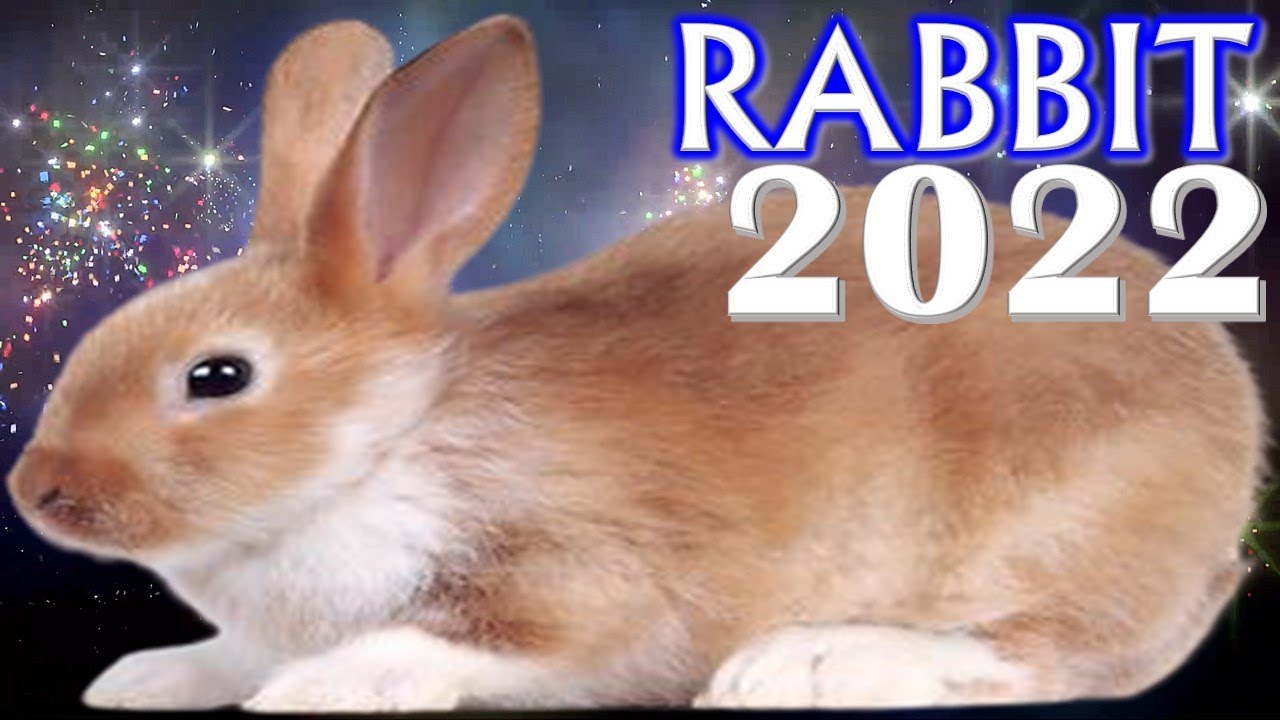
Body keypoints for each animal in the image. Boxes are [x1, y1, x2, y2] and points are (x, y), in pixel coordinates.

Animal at [5, 14, 1266, 713]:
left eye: (217, 377)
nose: (37, 489)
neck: (382, 440)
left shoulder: (583, 575)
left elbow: (455, 639)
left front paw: (320, 690)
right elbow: (226, 655)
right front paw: (146, 678)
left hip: (1059, 523)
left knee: (1038, 659)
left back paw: (801, 669)